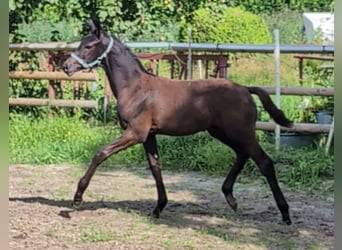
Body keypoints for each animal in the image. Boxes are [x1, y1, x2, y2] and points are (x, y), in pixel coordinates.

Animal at [62, 20, 292, 225]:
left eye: (88, 46)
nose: (66, 66)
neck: (135, 88)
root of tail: (245, 89)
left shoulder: (135, 132)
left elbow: (100, 153)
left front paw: (77, 198)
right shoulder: (149, 135)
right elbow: (155, 166)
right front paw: (158, 207)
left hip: (241, 132)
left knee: (264, 162)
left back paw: (285, 213)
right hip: (221, 132)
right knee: (243, 154)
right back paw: (230, 197)